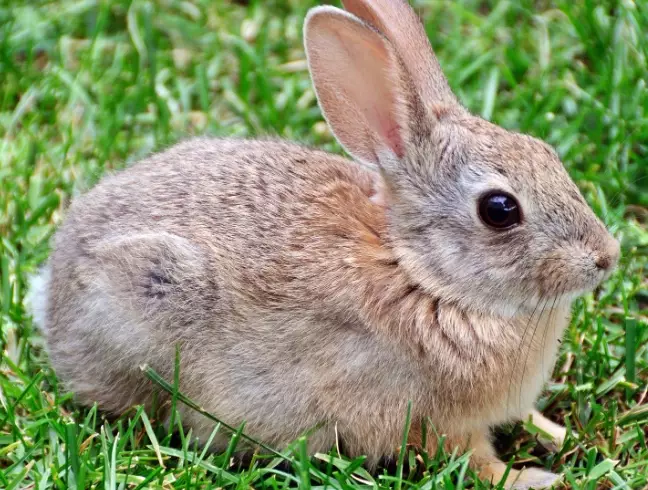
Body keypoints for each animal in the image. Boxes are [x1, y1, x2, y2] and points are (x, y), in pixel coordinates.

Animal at [27, 0, 620, 488]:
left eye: (545, 152)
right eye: (500, 210)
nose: (605, 258)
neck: (422, 275)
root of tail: (52, 295)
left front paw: (558, 434)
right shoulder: (434, 422)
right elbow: (474, 461)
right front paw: (533, 478)